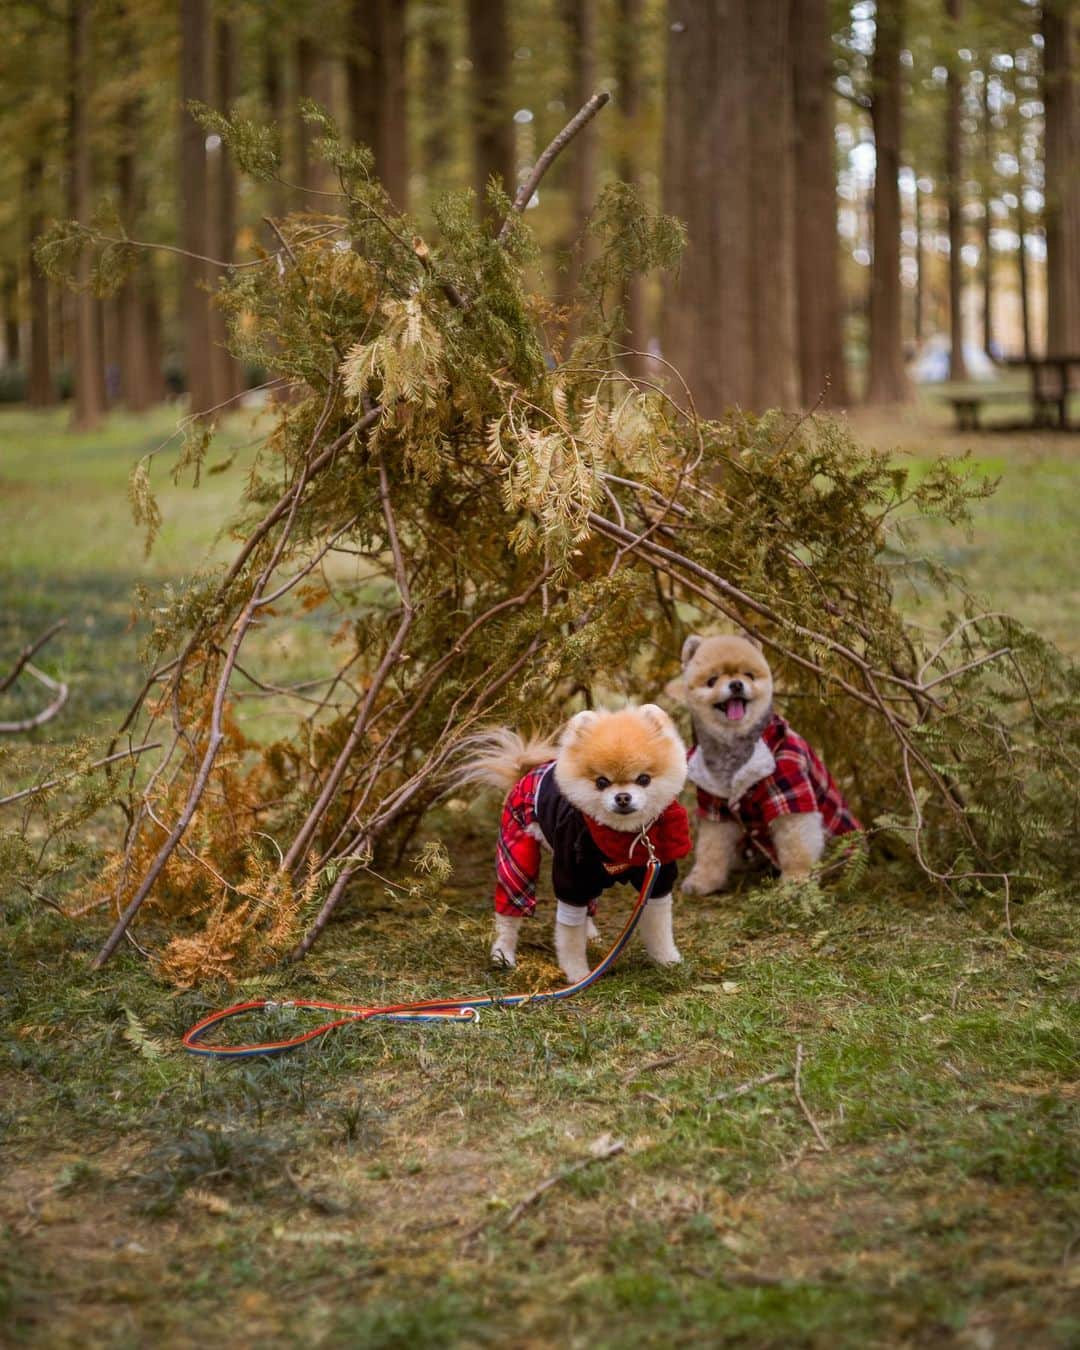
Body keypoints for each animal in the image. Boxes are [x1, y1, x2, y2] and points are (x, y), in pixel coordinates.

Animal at [456, 707, 691, 982]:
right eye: (601, 782)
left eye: (644, 779)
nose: (623, 797)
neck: (620, 837)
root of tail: (526, 770)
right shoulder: (572, 880)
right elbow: (569, 938)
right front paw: (577, 973)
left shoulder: (656, 879)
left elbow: (659, 928)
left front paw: (667, 961)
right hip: (516, 855)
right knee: (509, 915)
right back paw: (502, 953)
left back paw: (590, 935)